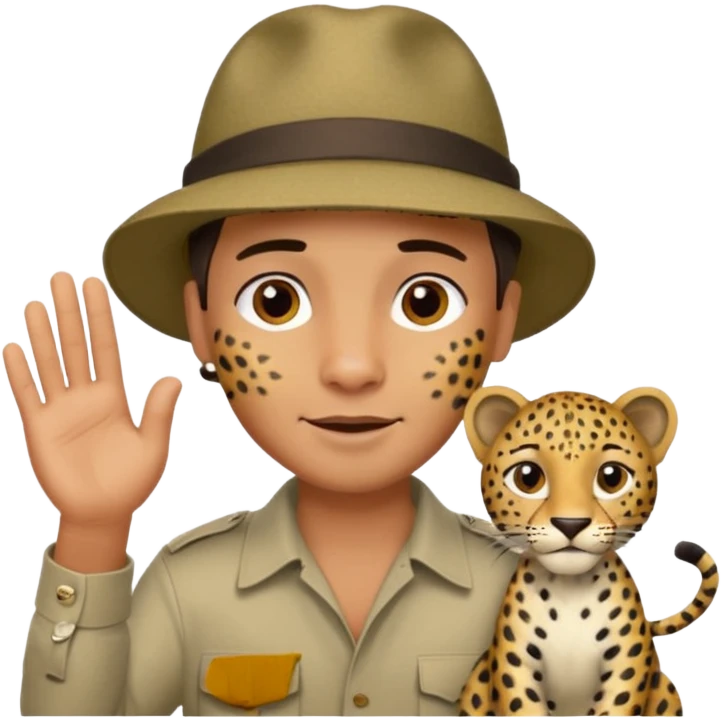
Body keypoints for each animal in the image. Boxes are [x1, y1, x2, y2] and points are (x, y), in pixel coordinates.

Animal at [456, 385, 718, 718]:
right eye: (527, 477)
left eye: (612, 477)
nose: (571, 524)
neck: (570, 592)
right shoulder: (515, 665)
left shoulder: (626, 667)